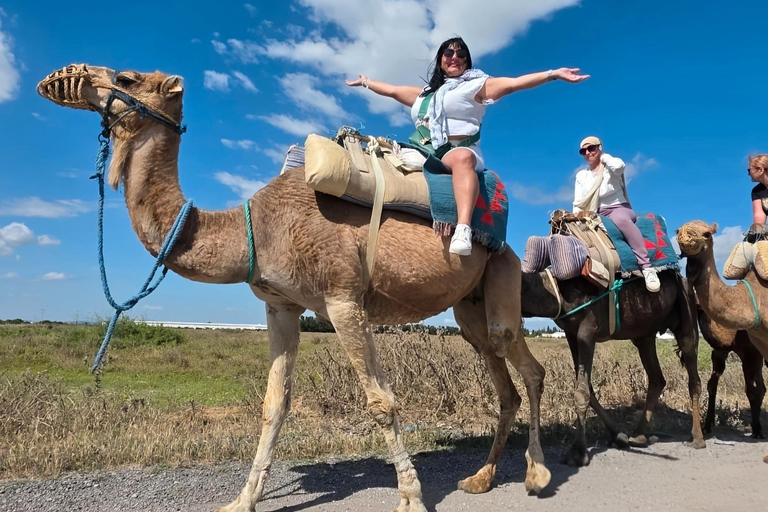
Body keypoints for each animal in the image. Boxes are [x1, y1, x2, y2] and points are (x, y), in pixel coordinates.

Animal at [37, 64, 551, 511]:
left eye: (125, 78)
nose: (58, 78)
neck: (254, 228)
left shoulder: (343, 298)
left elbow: (380, 402)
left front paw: (410, 498)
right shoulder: (280, 306)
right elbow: (274, 405)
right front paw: (242, 500)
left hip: (500, 273)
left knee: (526, 364)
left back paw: (536, 474)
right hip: (468, 305)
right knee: (498, 369)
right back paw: (481, 478)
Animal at [520, 269, 704, 466]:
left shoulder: (587, 329)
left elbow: (582, 392)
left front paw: (577, 453)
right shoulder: (571, 332)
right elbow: (588, 389)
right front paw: (619, 436)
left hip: (686, 311)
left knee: (692, 370)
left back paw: (697, 438)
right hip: (644, 334)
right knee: (657, 378)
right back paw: (638, 436)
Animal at [697, 307, 766, 438]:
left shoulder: (751, 352)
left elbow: (753, 391)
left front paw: (757, 430)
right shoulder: (720, 351)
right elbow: (711, 384)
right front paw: (707, 426)